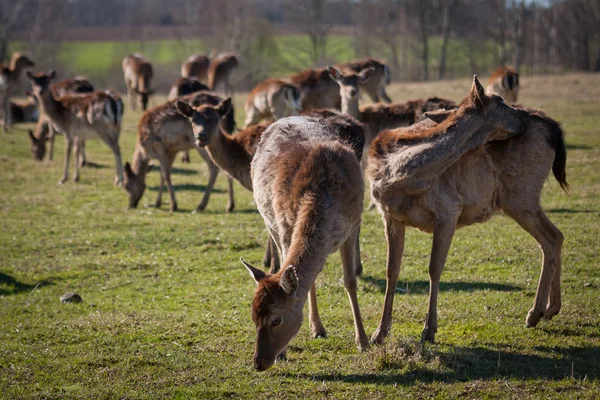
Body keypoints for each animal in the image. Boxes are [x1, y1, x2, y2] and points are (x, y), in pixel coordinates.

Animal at [366, 77, 568, 344]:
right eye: (501, 100)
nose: (525, 117)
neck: (399, 176)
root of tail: (553, 128)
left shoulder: (449, 209)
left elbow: (434, 268)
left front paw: (429, 330)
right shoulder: (390, 215)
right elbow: (392, 271)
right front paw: (379, 333)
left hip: (521, 196)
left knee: (551, 238)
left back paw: (535, 313)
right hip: (524, 199)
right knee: (555, 236)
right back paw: (550, 309)